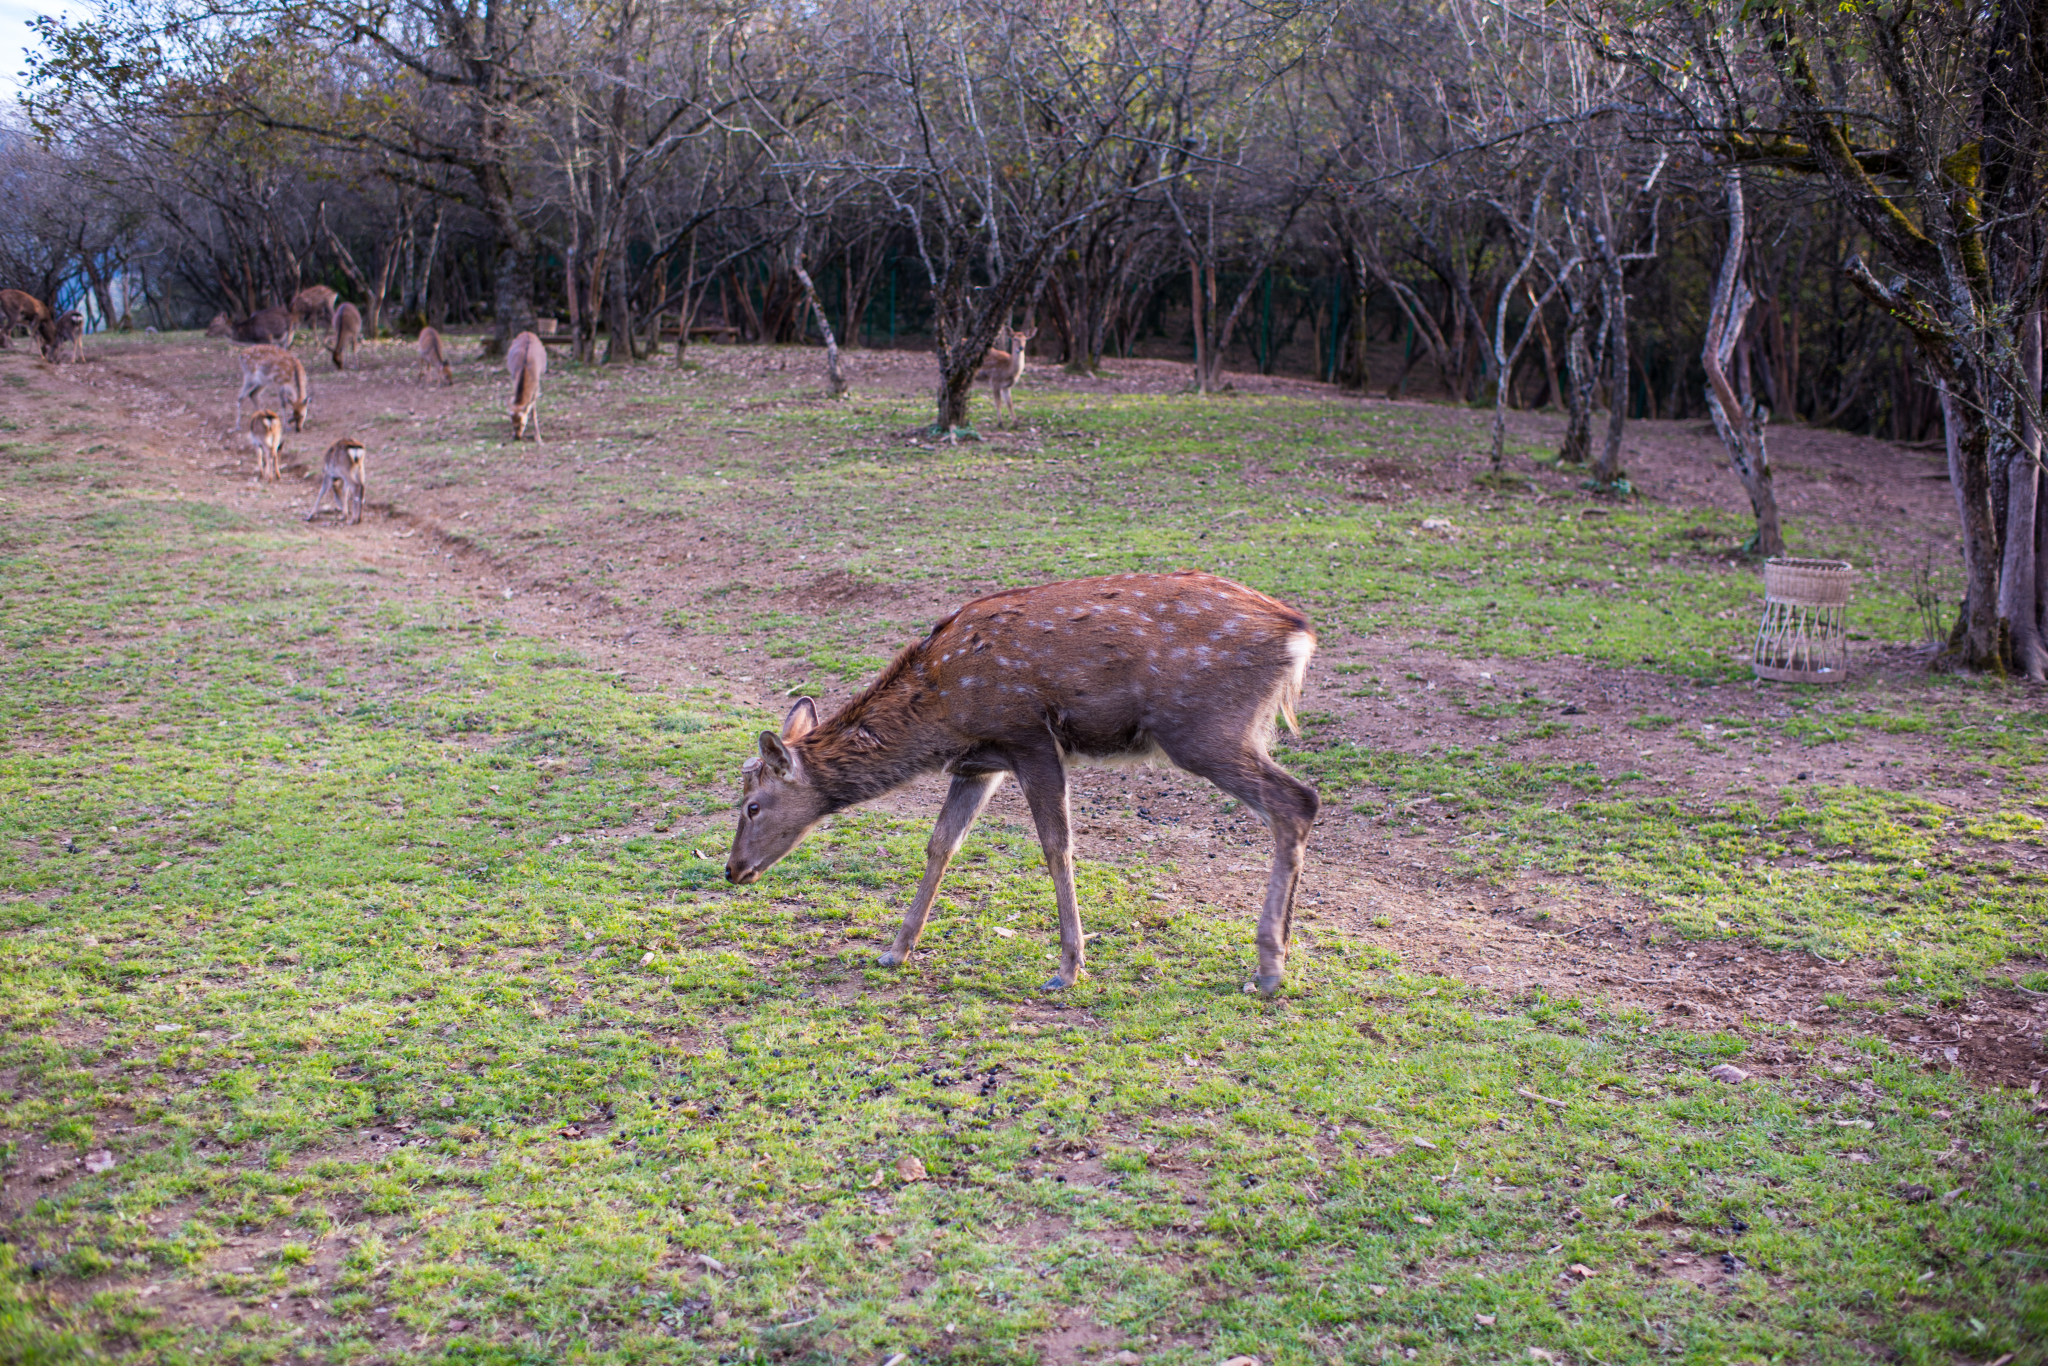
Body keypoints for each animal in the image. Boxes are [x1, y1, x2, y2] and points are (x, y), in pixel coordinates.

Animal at [729, 565, 1318, 995]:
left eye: (752, 805)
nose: (733, 869)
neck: (940, 714)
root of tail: (1300, 634)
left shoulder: (1027, 737)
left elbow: (1056, 846)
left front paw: (1069, 968)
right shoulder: (981, 763)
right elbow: (941, 844)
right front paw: (895, 950)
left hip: (1204, 728)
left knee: (1297, 798)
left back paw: (1268, 969)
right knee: (1298, 803)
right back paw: (1282, 953)